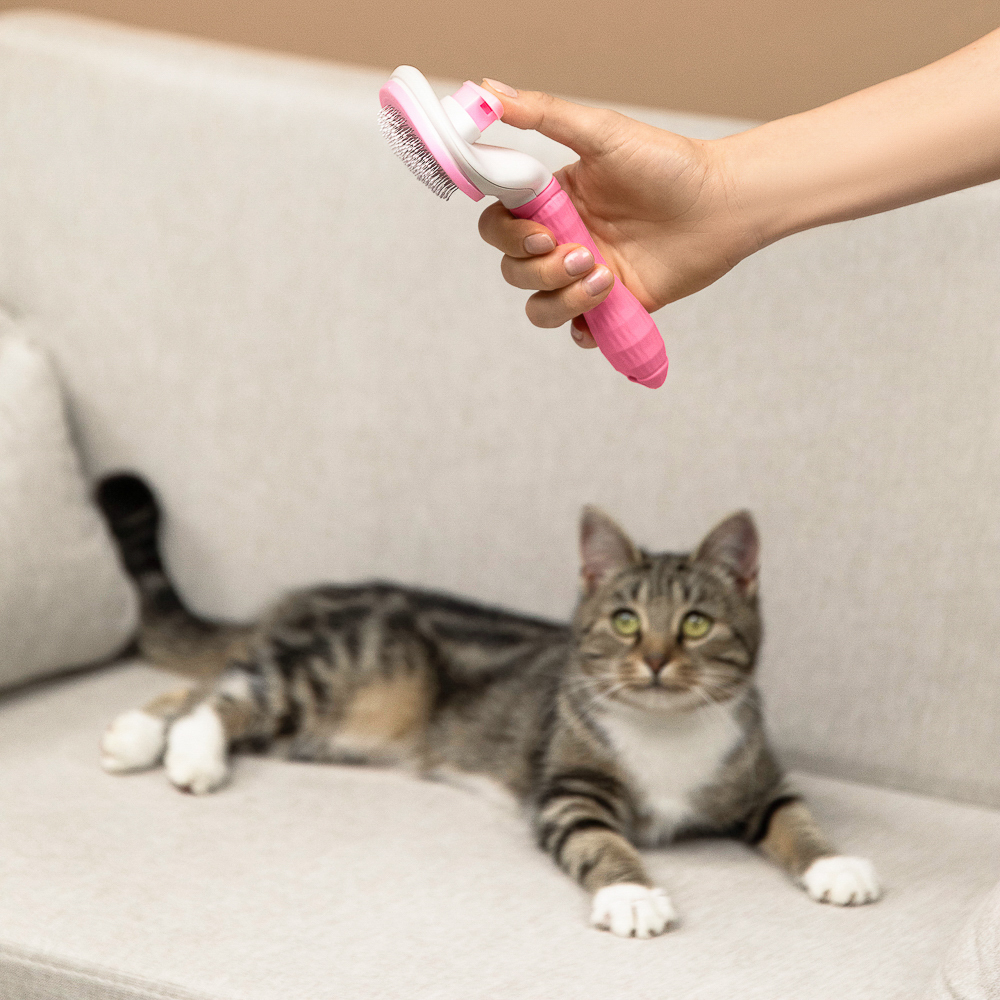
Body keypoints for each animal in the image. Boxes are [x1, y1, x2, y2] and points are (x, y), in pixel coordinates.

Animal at [96, 473, 880, 938]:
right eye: (626, 620)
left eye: (695, 624)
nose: (656, 660)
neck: (665, 732)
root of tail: (308, 599)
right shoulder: (566, 792)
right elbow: (601, 842)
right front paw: (631, 896)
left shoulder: (758, 778)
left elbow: (795, 817)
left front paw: (834, 865)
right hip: (344, 678)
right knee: (226, 689)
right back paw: (179, 752)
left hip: (337, 724)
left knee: (209, 684)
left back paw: (142, 737)